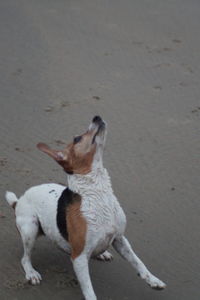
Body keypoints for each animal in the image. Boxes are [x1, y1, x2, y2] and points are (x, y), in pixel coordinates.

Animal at [5, 115, 166, 300]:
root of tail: (19, 200)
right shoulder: (79, 258)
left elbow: (138, 262)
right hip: (30, 229)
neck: (98, 193)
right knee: (25, 258)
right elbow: (89, 289)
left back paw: (102, 253)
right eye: (77, 139)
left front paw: (153, 280)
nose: (97, 117)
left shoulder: (120, 238)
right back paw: (31, 273)